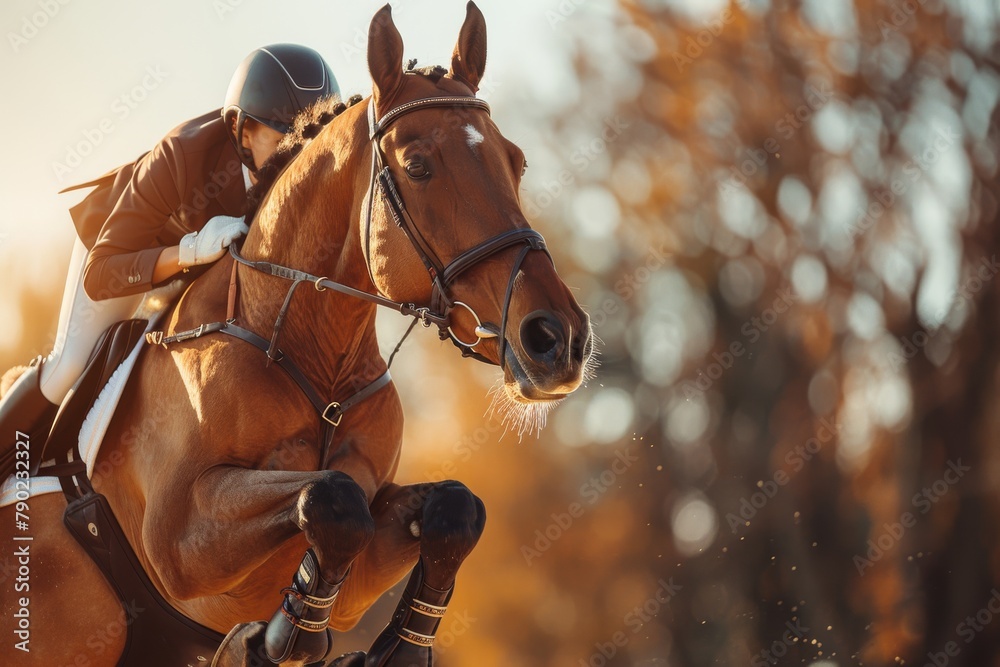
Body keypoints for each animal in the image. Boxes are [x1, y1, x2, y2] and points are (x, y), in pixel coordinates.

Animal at [0, 3, 593, 665]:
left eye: (516, 161)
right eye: (418, 166)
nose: (557, 340)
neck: (309, 351)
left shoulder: (359, 559)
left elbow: (453, 507)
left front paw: (395, 648)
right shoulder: (179, 541)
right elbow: (333, 501)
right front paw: (283, 639)